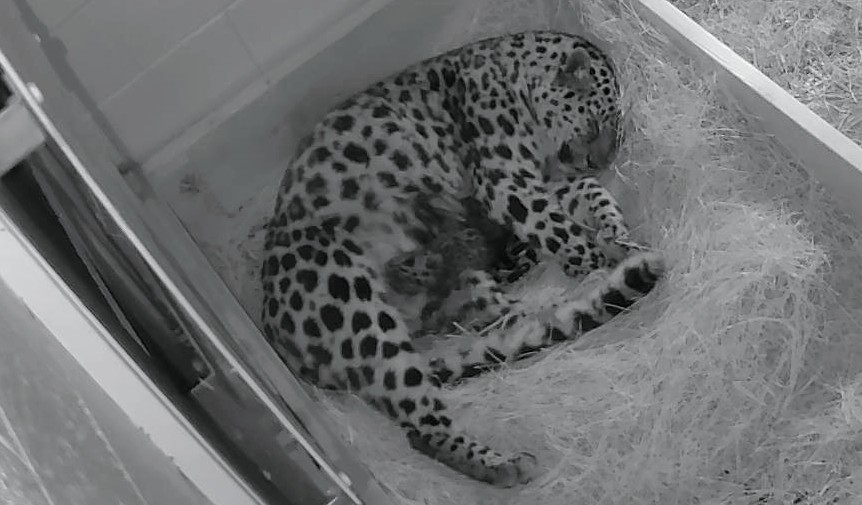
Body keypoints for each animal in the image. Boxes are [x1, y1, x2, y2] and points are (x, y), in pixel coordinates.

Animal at [259, 30, 665, 487]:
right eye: (595, 122)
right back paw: (504, 464)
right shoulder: (508, 183)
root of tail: (276, 335)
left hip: (463, 291)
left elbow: (590, 194)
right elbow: (561, 229)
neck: (511, 76)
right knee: (421, 427)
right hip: (353, 307)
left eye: (614, 131)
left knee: (498, 323)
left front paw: (618, 237)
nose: (599, 160)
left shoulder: (538, 183)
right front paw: (596, 260)